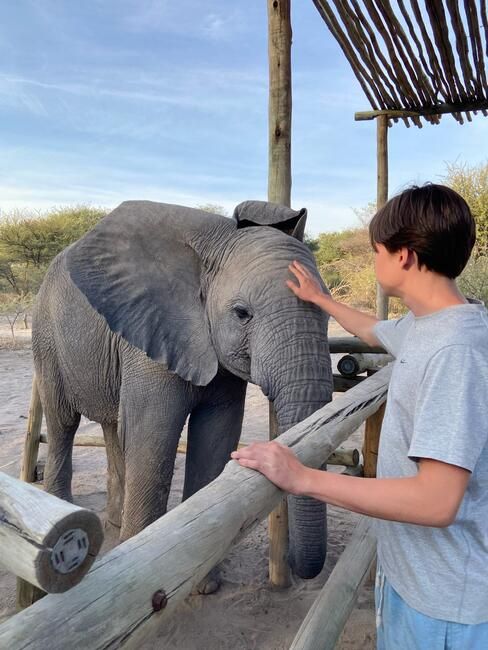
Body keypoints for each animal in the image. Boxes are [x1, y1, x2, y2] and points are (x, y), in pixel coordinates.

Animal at [32, 199, 333, 586]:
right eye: (242, 314)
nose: (293, 565)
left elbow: (216, 436)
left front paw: (205, 584)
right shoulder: (151, 336)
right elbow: (153, 436)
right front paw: (140, 574)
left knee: (113, 426)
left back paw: (114, 524)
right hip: (47, 335)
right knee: (63, 422)